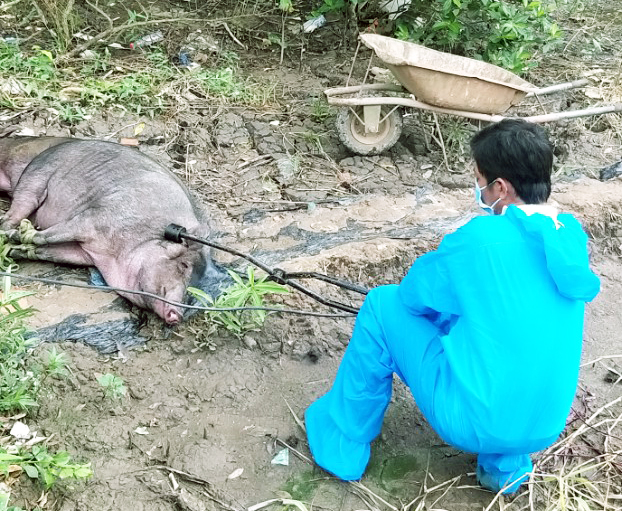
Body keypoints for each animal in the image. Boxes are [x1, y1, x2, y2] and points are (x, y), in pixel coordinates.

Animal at [0, 137, 229, 324]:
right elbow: (47, 236)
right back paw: (7, 232)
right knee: (15, 211)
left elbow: (49, 252)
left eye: (195, 286)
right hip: (36, 175)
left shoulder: (82, 253)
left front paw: (17, 251)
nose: (177, 315)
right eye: (184, 265)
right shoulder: (96, 218)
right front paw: (16, 239)